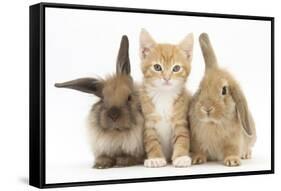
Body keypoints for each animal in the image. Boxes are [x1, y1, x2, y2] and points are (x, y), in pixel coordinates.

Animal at [55, 35, 144, 169]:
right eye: (102, 99)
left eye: (129, 97)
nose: (113, 115)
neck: (116, 133)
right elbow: (103, 156)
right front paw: (101, 164)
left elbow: (133, 157)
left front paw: (123, 161)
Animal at [138, 29, 192, 168]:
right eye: (157, 67)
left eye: (176, 68)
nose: (167, 78)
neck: (163, 95)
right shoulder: (148, 121)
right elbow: (151, 140)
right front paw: (155, 158)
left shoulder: (180, 120)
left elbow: (182, 137)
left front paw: (181, 157)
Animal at [188, 33, 256, 166]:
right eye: (200, 89)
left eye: (224, 90)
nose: (207, 108)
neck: (213, 123)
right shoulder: (196, 141)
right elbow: (199, 150)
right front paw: (196, 159)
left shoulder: (233, 141)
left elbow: (231, 150)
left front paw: (232, 161)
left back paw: (246, 154)